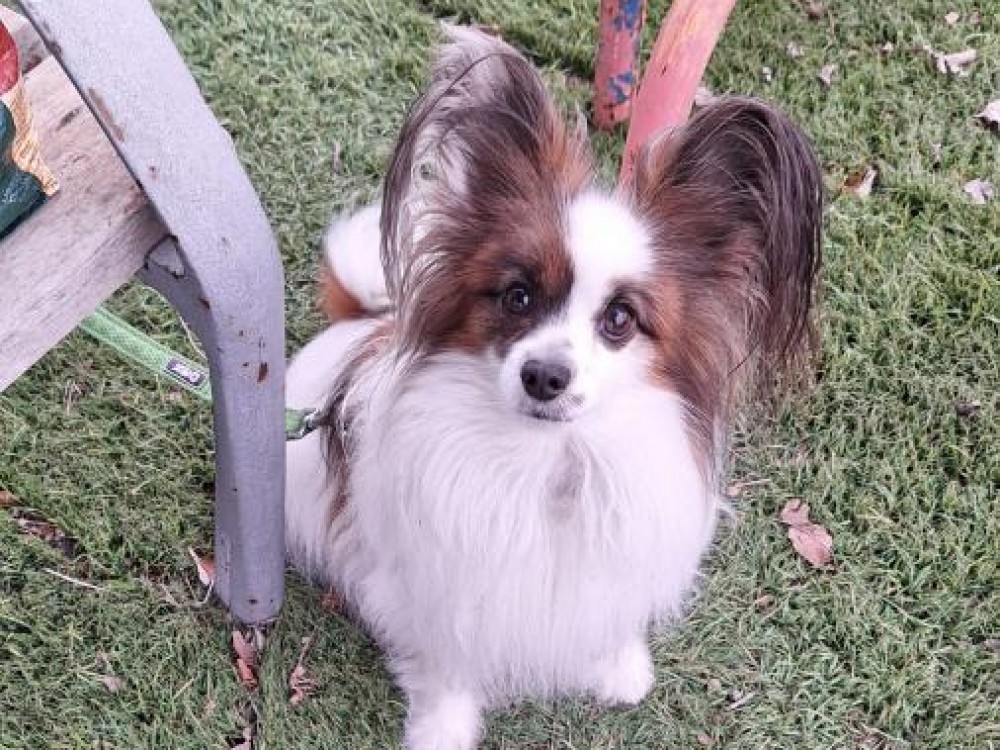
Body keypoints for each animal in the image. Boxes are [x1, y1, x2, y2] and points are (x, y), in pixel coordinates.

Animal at [286, 26, 822, 750]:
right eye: (517, 296)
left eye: (620, 319)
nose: (543, 376)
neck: (554, 461)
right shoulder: (441, 582)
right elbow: (447, 663)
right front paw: (442, 730)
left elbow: (611, 618)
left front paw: (621, 669)